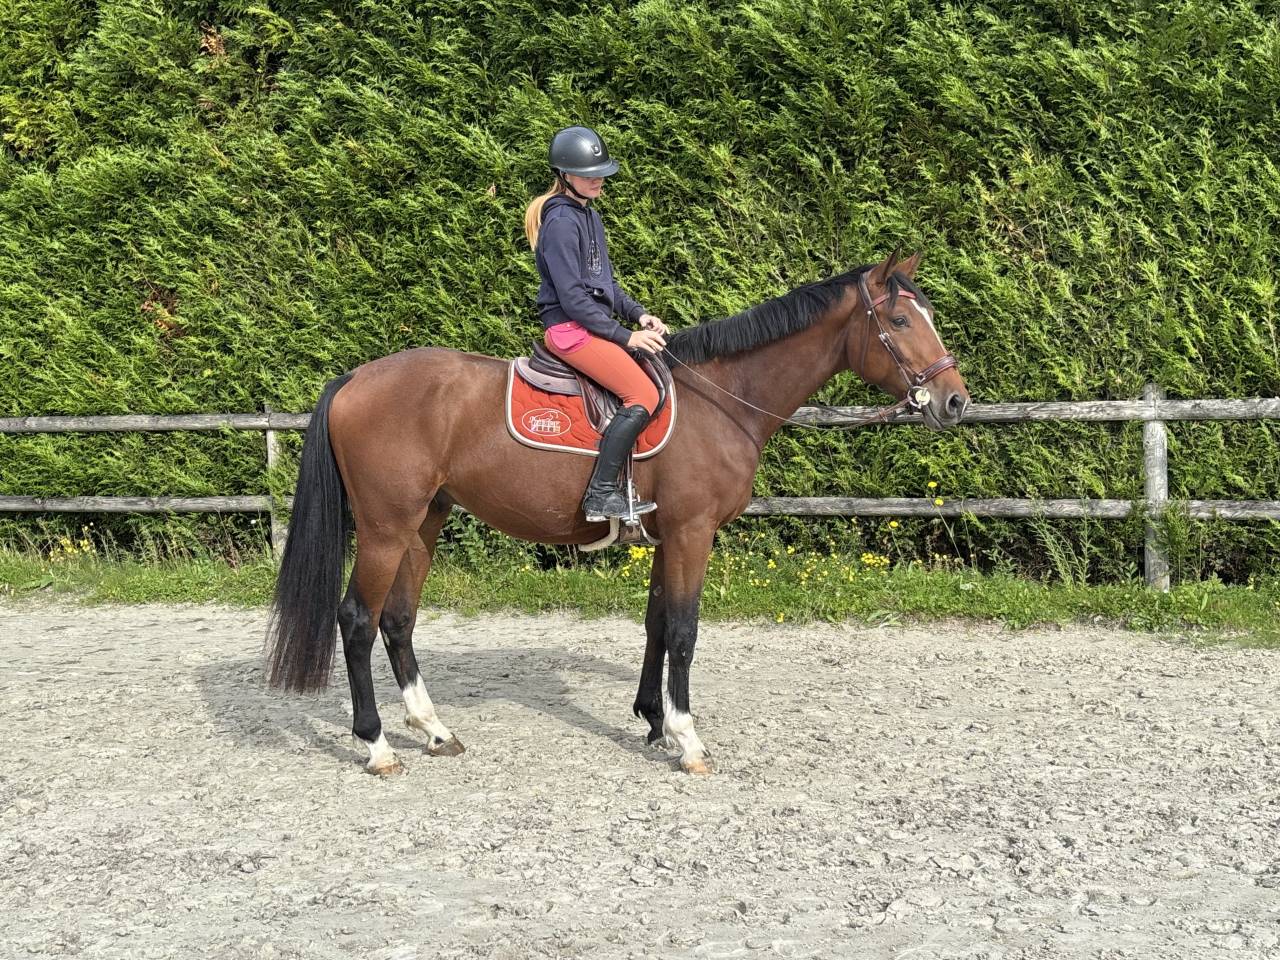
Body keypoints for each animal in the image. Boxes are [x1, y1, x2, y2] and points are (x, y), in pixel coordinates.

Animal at [266, 251, 969, 775]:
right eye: (901, 321)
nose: (955, 401)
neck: (721, 400)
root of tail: (355, 379)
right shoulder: (691, 533)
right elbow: (683, 631)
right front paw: (687, 739)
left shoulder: (666, 535)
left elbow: (656, 624)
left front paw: (653, 721)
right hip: (386, 526)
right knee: (358, 619)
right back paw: (378, 745)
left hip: (424, 521)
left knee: (398, 620)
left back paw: (434, 730)